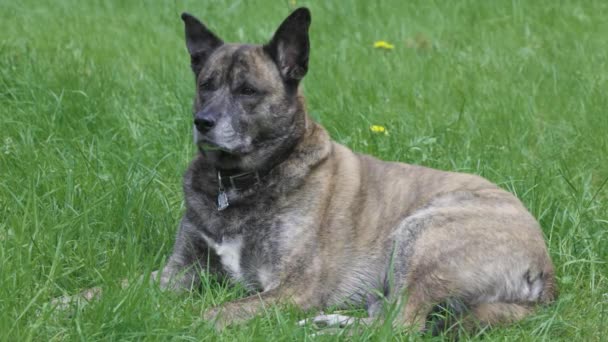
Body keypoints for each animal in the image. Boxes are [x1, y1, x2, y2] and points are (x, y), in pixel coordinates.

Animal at [57, 8, 556, 334]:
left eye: (248, 91)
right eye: (206, 84)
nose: (203, 123)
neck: (237, 183)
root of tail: (545, 270)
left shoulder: (288, 289)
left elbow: (220, 312)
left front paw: (192, 323)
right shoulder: (178, 271)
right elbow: (117, 287)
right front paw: (70, 301)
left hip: (422, 235)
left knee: (399, 326)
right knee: (383, 316)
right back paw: (327, 322)